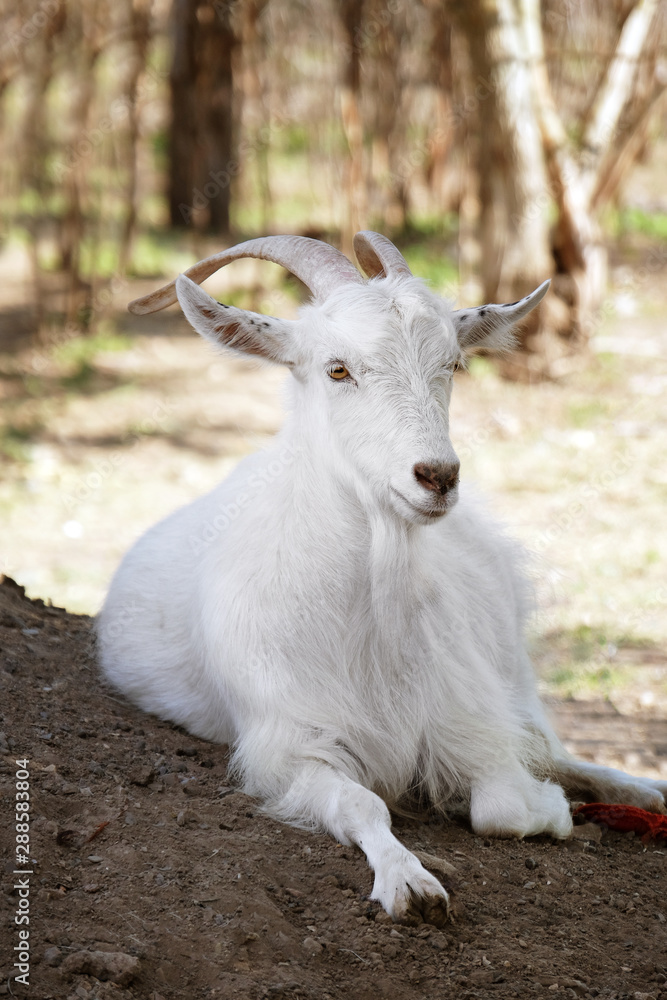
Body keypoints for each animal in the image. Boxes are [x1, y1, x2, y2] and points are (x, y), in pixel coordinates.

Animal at [99, 232, 667, 920]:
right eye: (337, 368)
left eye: (454, 365)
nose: (438, 476)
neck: (372, 618)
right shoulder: (287, 746)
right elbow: (362, 802)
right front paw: (410, 883)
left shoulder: (470, 720)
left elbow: (503, 803)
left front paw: (552, 810)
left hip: (513, 666)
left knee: (558, 750)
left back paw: (643, 790)